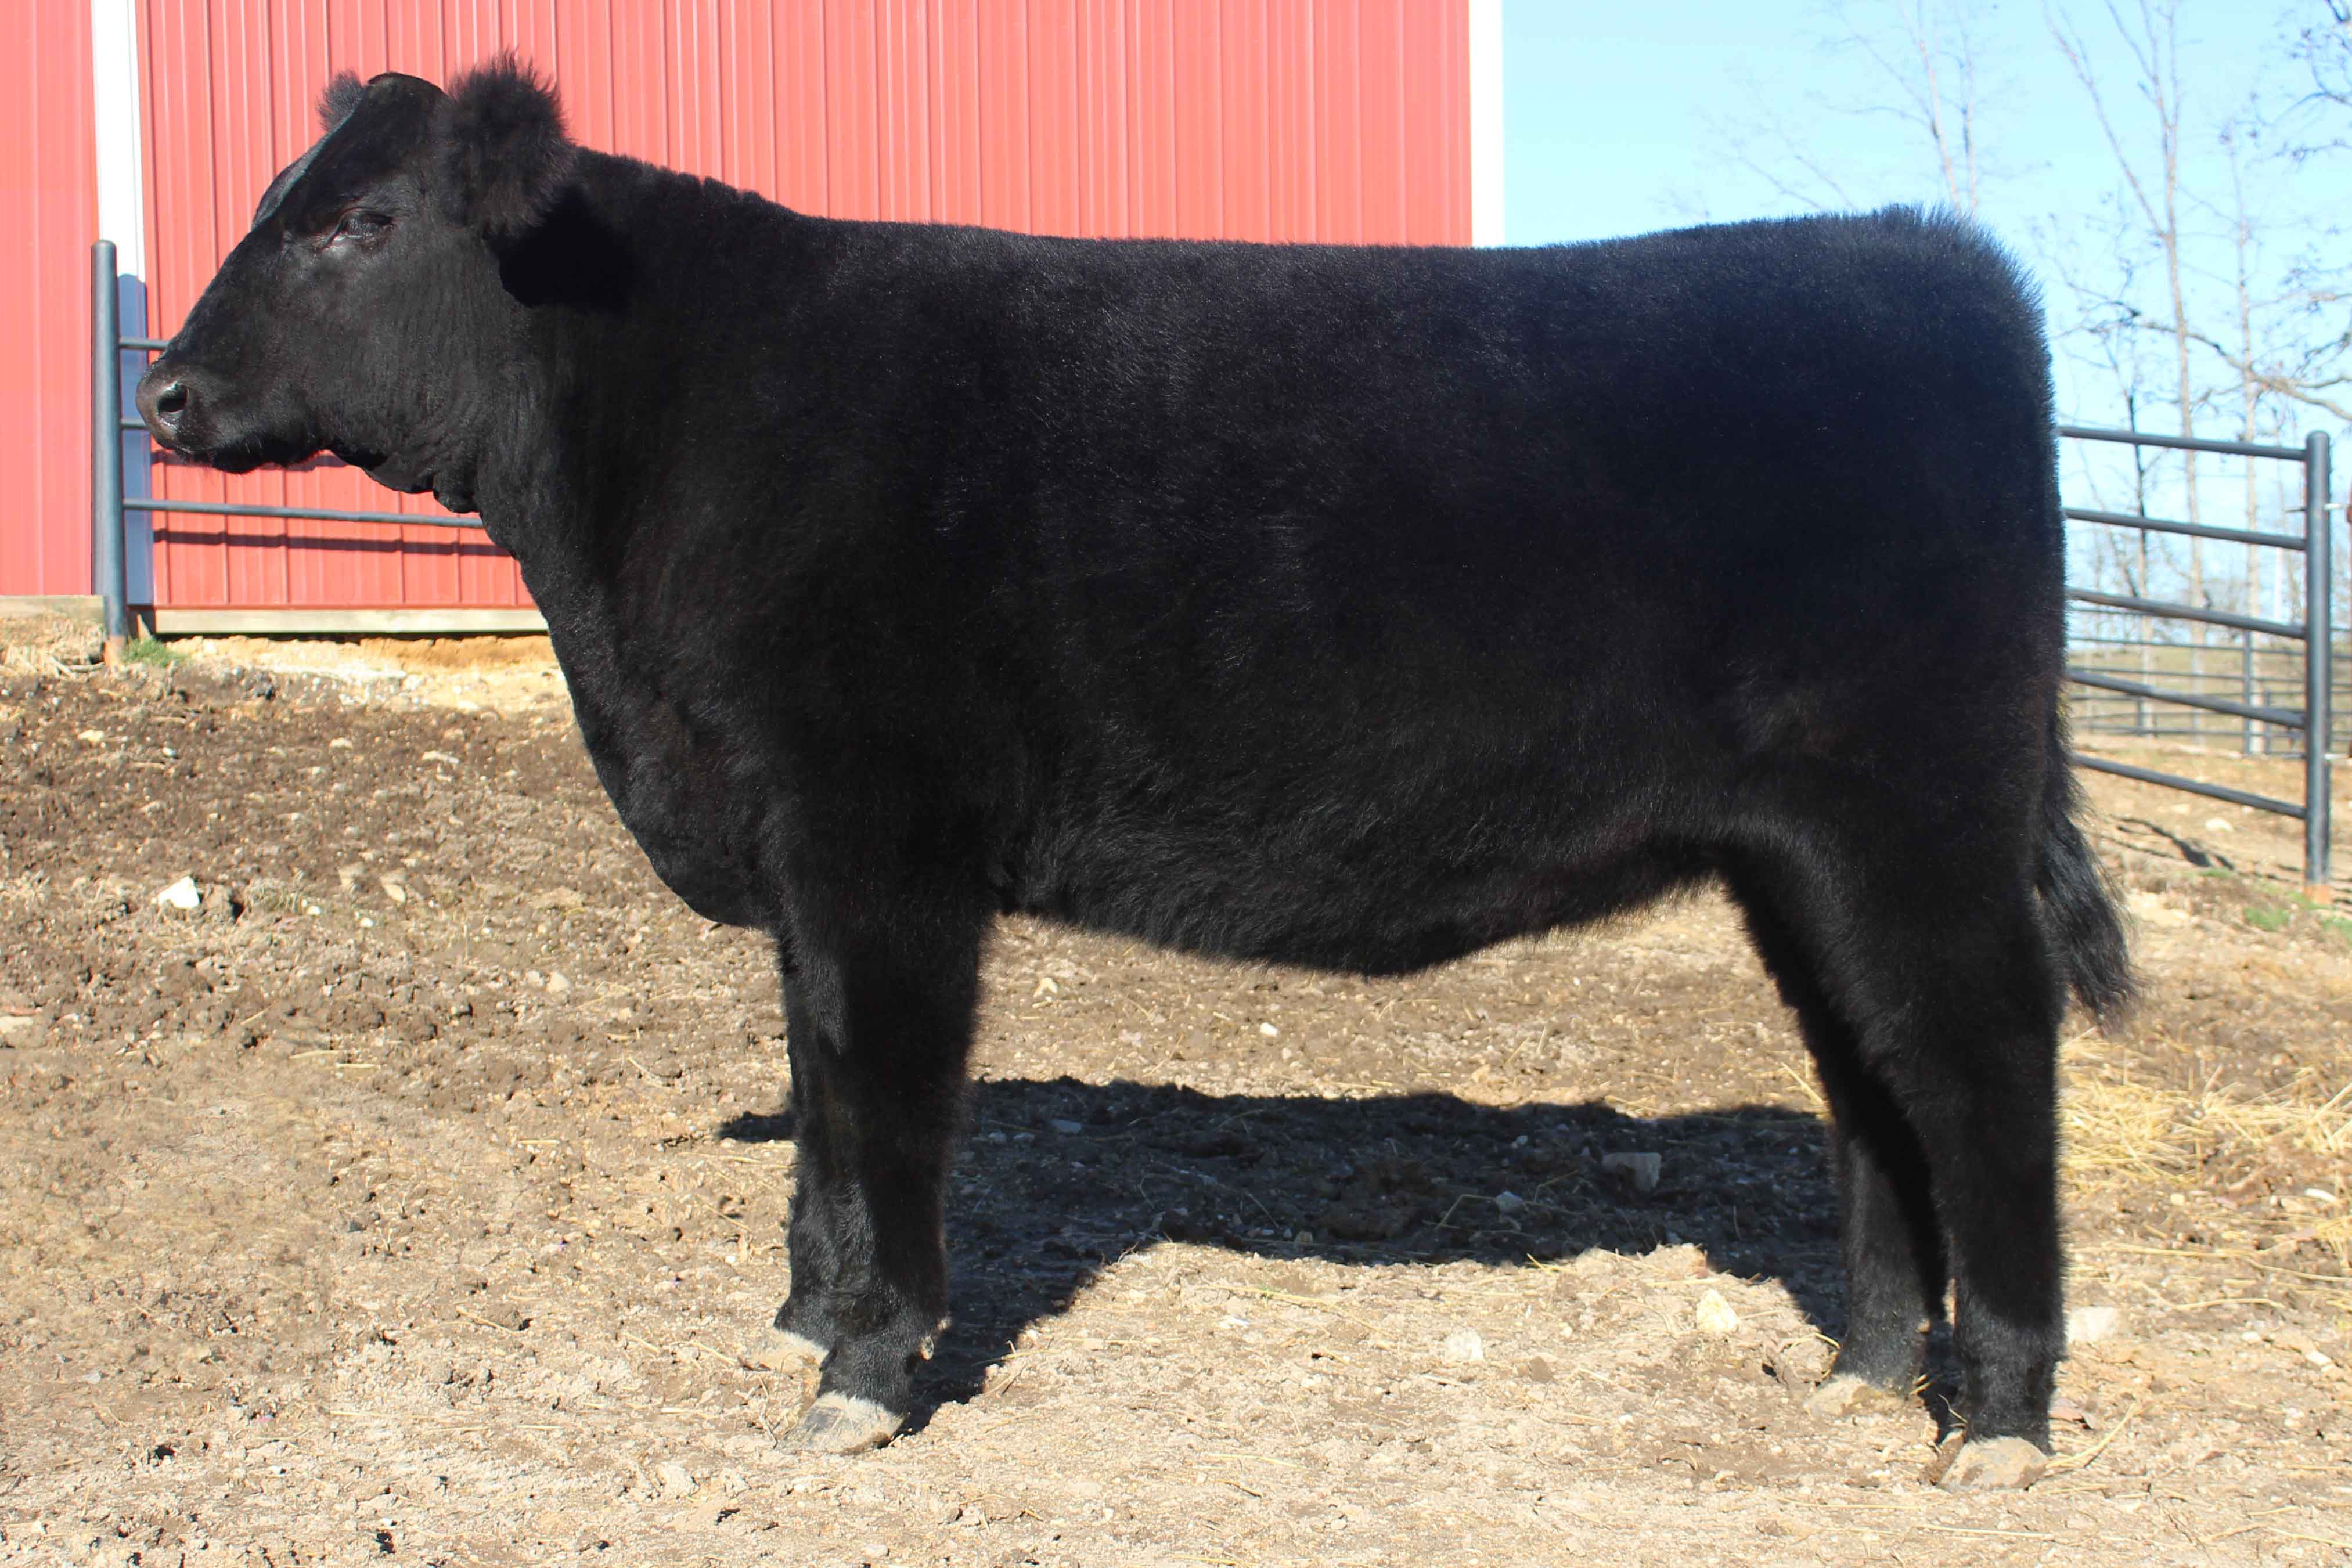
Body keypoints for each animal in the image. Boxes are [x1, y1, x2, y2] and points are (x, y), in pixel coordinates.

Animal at [137, 59, 2130, 1490]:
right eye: (278, 204)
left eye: (359, 222)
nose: (160, 393)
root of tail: (1933, 263)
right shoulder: (796, 856)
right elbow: (821, 1098)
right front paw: (801, 1314)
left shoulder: (875, 842)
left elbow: (882, 1101)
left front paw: (865, 1369)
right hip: (1793, 854)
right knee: (1870, 1082)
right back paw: (1866, 1367)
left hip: (1920, 822)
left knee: (1979, 1062)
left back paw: (1999, 1416)